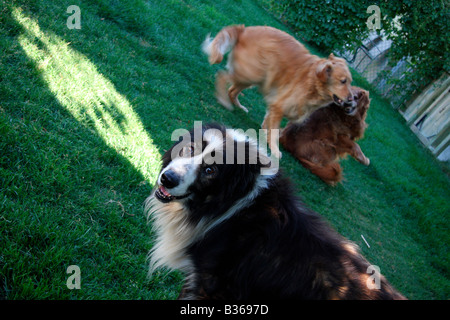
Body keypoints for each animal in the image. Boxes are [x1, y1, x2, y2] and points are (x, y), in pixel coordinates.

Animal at [203, 25, 356, 158]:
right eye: (343, 81)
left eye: (350, 81)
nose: (352, 99)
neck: (313, 81)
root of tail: (244, 29)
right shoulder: (279, 106)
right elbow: (275, 132)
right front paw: (275, 149)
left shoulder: (276, 103)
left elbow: (268, 122)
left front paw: (265, 134)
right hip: (250, 73)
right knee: (222, 76)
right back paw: (224, 101)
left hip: (252, 78)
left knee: (232, 90)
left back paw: (238, 106)